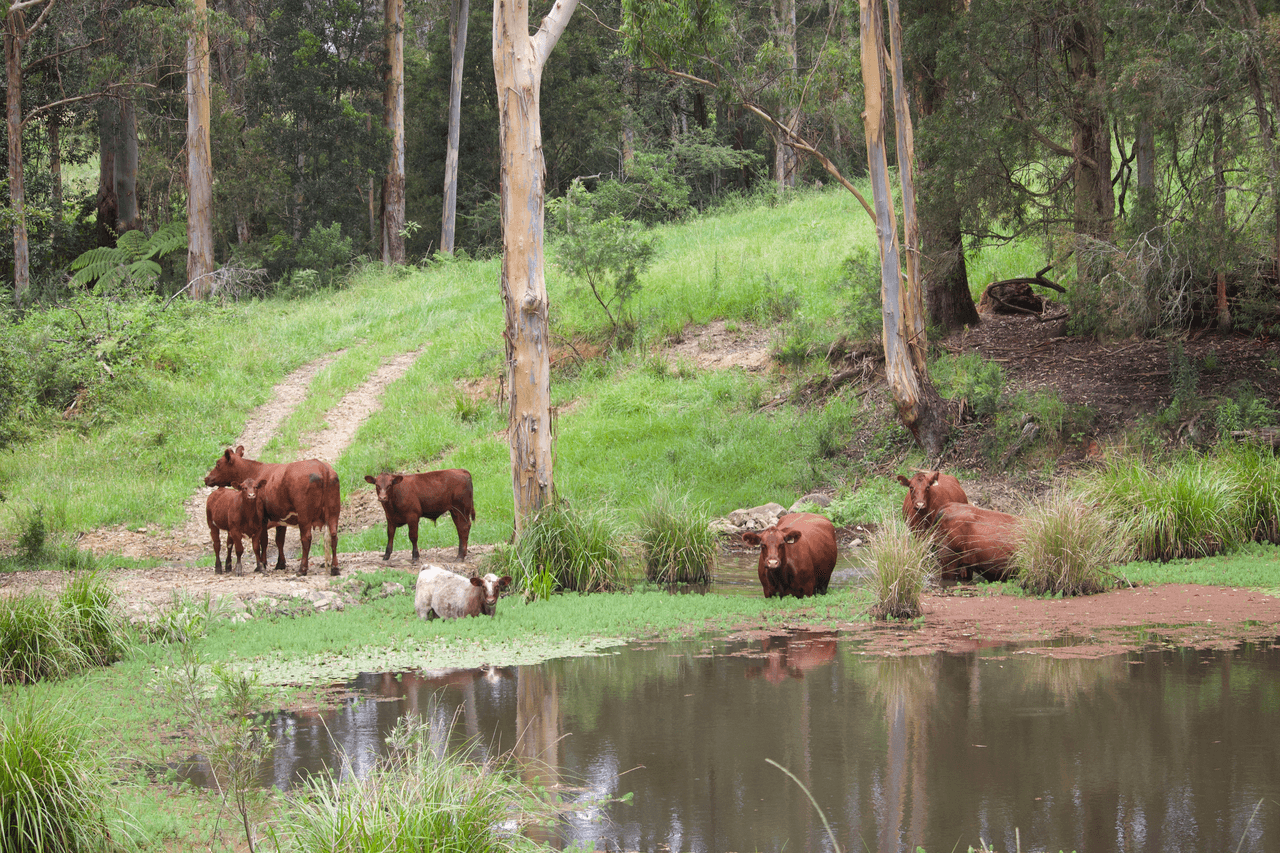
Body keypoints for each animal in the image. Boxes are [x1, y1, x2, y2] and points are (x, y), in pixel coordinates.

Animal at [202, 445, 340, 578]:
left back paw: (302, 569)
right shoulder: (281, 518)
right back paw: (335, 568)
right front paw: (280, 564)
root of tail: (322, 467)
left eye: (218, 464)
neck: (255, 471)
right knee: (334, 536)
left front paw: (262, 564)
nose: (206, 478)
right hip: (333, 512)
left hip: (304, 515)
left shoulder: (262, 517)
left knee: (306, 538)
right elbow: (279, 541)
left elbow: (263, 541)